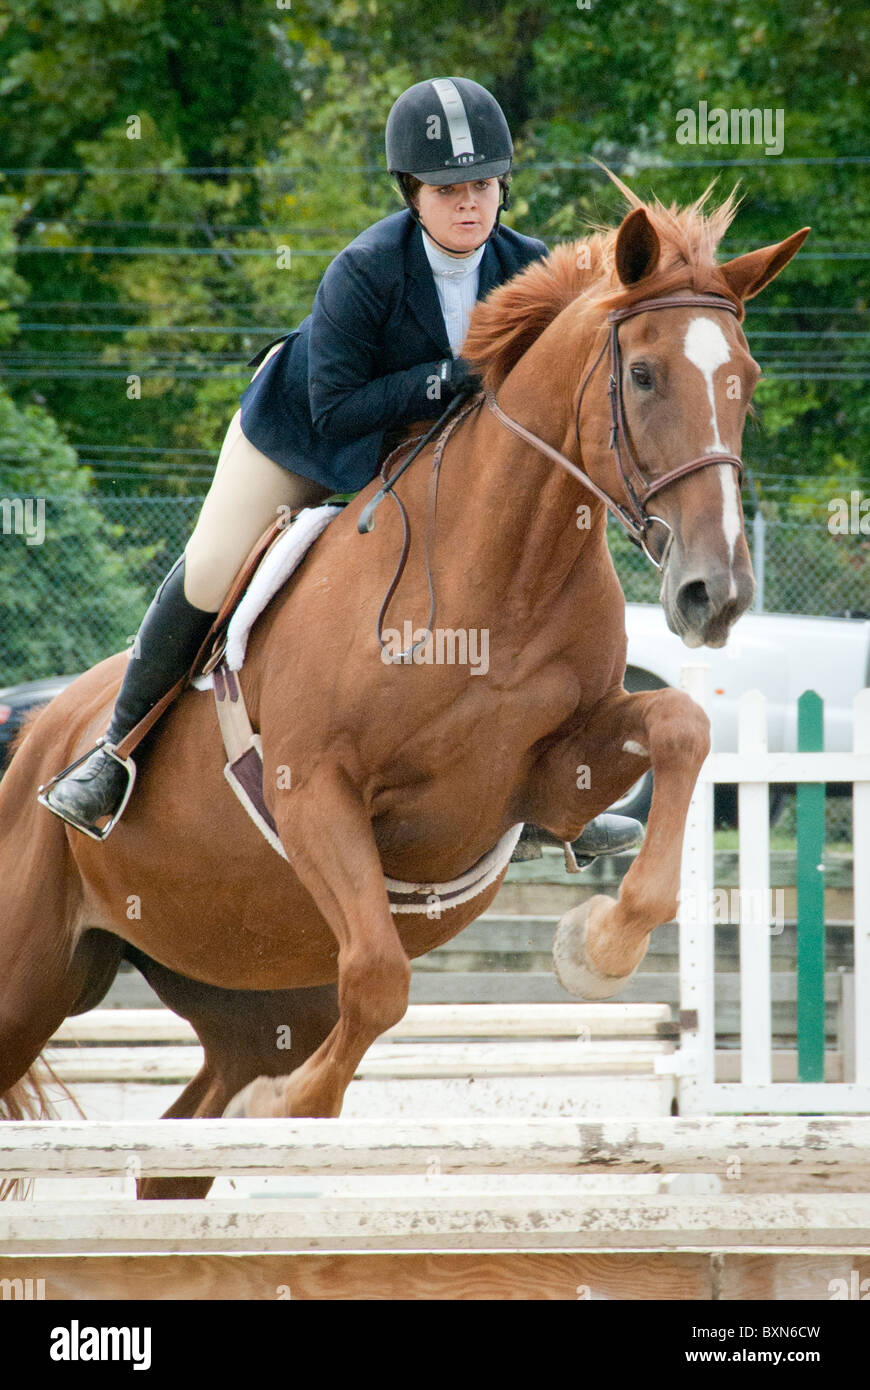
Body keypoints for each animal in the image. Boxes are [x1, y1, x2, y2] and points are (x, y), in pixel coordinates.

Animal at [0, 173, 800, 1195]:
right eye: (646, 376)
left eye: (748, 382)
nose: (714, 593)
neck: (498, 576)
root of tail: (40, 732)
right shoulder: (314, 792)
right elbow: (380, 979)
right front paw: (294, 1109)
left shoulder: (548, 778)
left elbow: (682, 728)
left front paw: (597, 948)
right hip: (30, 977)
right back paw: (93, 784)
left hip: (251, 985)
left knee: (184, 1139)